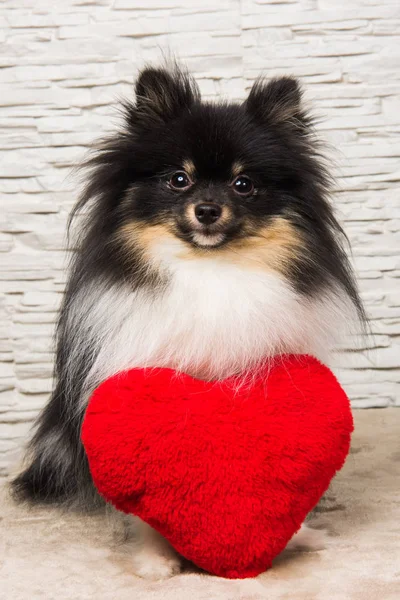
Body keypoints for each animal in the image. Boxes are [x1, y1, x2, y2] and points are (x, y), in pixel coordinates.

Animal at [10, 63, 366, 580]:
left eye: (243, 184)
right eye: (179, 178)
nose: (208, 210)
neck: (210, 270)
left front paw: (300, 533)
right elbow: (141, 504)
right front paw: (155, 559)